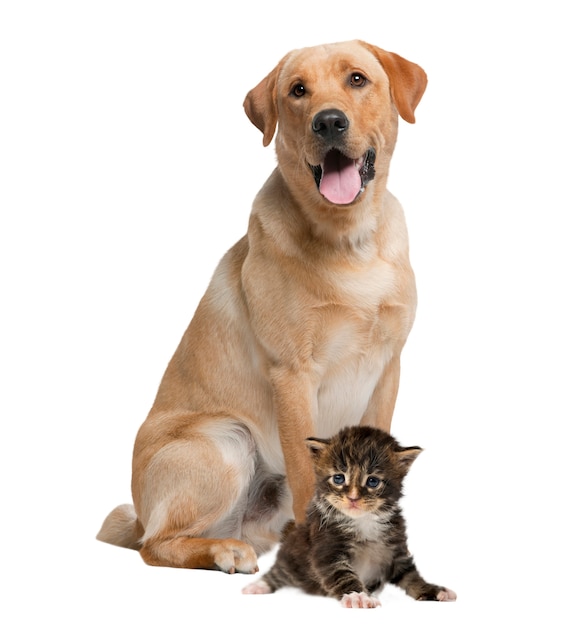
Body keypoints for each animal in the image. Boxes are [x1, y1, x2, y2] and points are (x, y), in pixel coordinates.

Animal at [96, 40, 424, 576]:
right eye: (298, 91)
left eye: (357, 79)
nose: (328, 122)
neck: (350, 242)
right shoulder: (293, 376)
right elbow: (308, 471)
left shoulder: (387, 367)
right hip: (224, 441)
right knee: (155, 544)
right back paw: (224, 550)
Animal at [242, 424, 456, 604]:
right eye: (338, 478)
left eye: (372, 481)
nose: (353, 498)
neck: (364, 521)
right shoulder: (327, 551)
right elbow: (343, 575)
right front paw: (357, 596)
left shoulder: (396, 552)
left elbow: (410, 575)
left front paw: (434, 590)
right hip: (291, 557)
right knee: (278, 573)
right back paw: (257, 586)